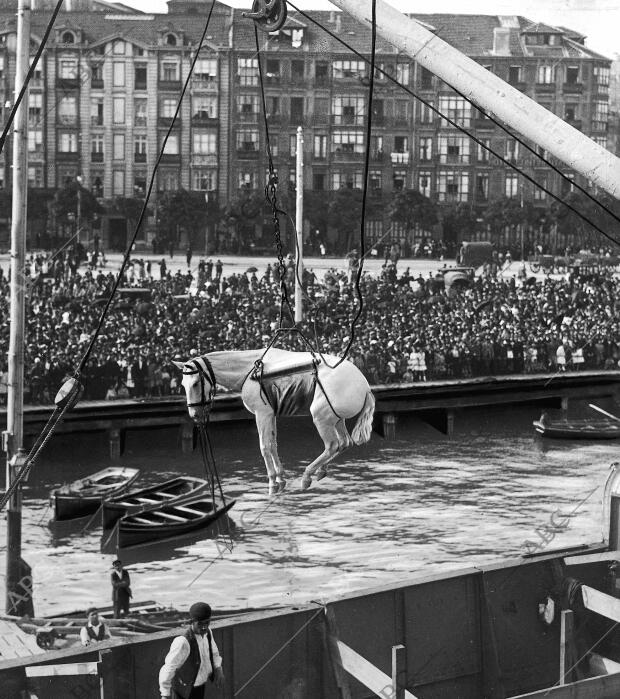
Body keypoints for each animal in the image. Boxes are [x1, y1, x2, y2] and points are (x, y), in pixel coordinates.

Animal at [176, 348, 378, 492]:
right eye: (183, 384)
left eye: (195, 383)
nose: (194, 415)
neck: (250, 371)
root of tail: (365, 387)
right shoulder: (270, 415)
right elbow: (273, 444)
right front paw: (280, 477)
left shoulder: (262, 414)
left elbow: (265, 446)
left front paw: (273, 481)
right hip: (336, 419)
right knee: (344, 443)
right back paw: (320, 470)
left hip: (321, 418)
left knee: (332, 445)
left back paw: (307, 476)